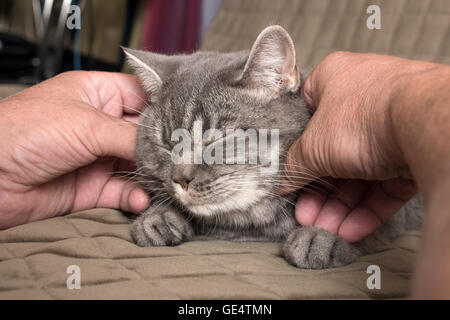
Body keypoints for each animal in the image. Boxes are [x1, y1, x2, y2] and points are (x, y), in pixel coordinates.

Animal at [123, 26, 422, 268]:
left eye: (216, 138)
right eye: (166, 143)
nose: (180, 179)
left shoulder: (395, 215)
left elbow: (366, 227)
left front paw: (322, 237)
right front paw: (158, 216)